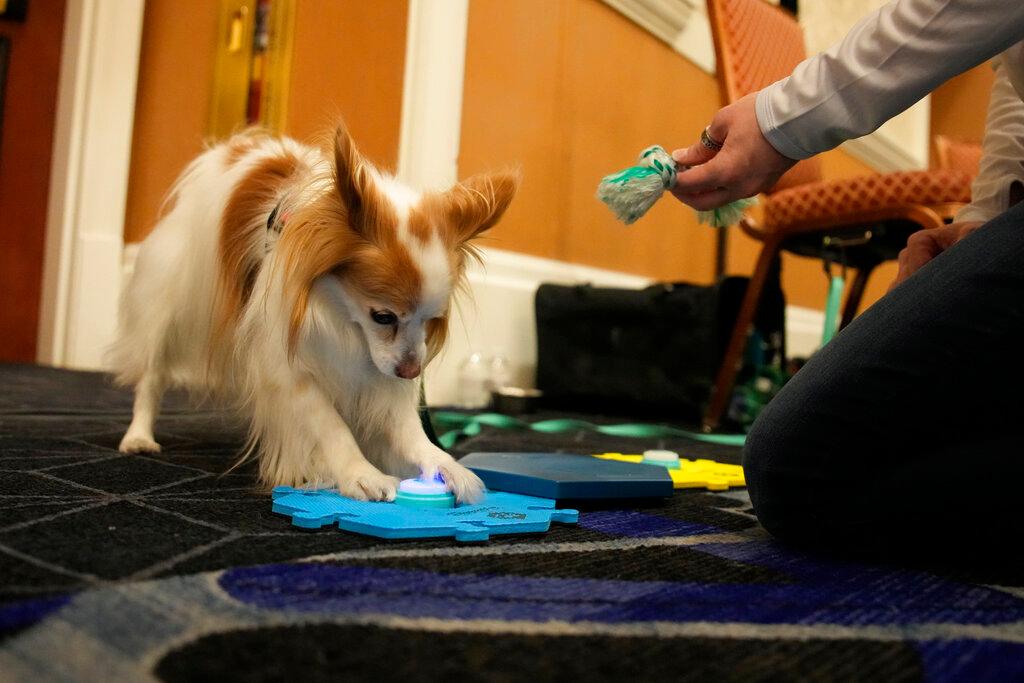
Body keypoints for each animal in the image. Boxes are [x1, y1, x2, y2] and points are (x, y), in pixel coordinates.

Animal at [110, 124, 520, 501]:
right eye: (382, 317)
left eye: (432, 320)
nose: (411, 372)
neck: (340, 314)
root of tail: (235, 147)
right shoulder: (285, 364)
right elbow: (329, 423)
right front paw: (359, 473)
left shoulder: (386, 370)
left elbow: (405, 427)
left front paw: (442, 463)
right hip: (170, 303)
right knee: (152, 374)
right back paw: (139, 436)